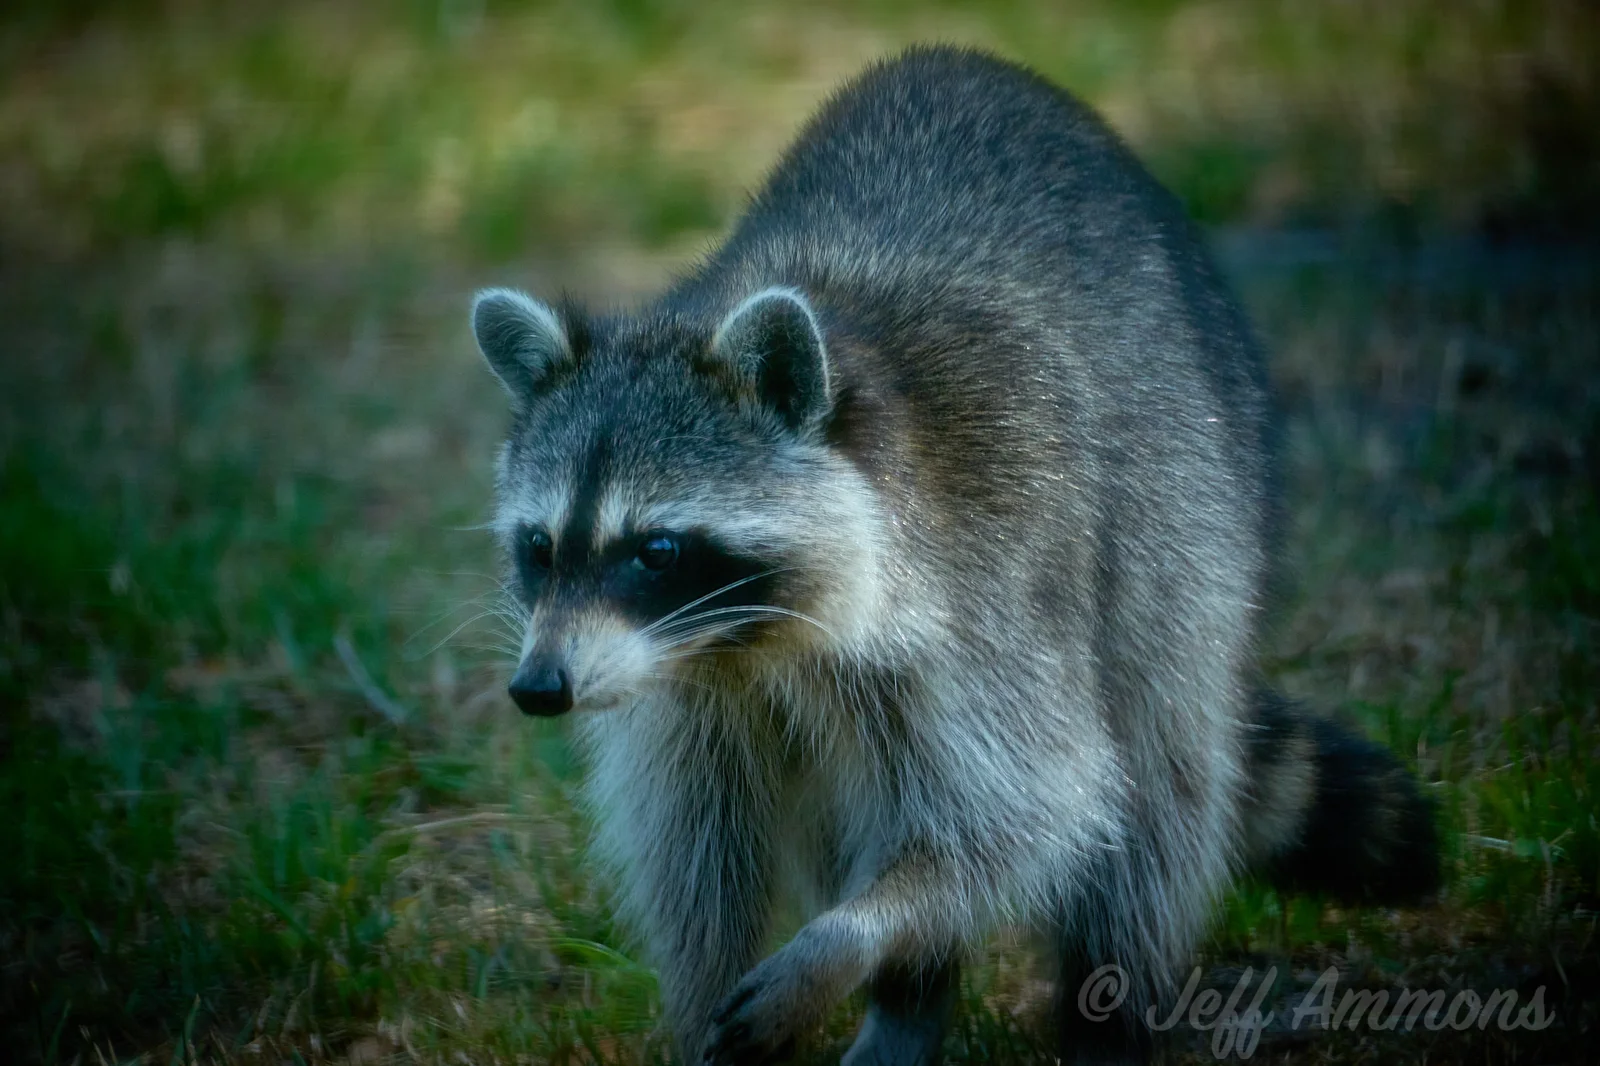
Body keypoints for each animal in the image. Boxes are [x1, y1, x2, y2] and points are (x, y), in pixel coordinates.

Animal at [469, 46, 1438, 1065]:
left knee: (1154, 784)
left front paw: (852, 937)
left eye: (654, 549)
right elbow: (698, 852)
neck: (748, 642)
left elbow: (1042, 801)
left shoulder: (991, 586)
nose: (539, 687)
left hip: (1190, 515)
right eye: (540, 547)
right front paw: (714, 1009)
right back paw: (911, 1003)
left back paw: (1103, 1008)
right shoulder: (687, 691)